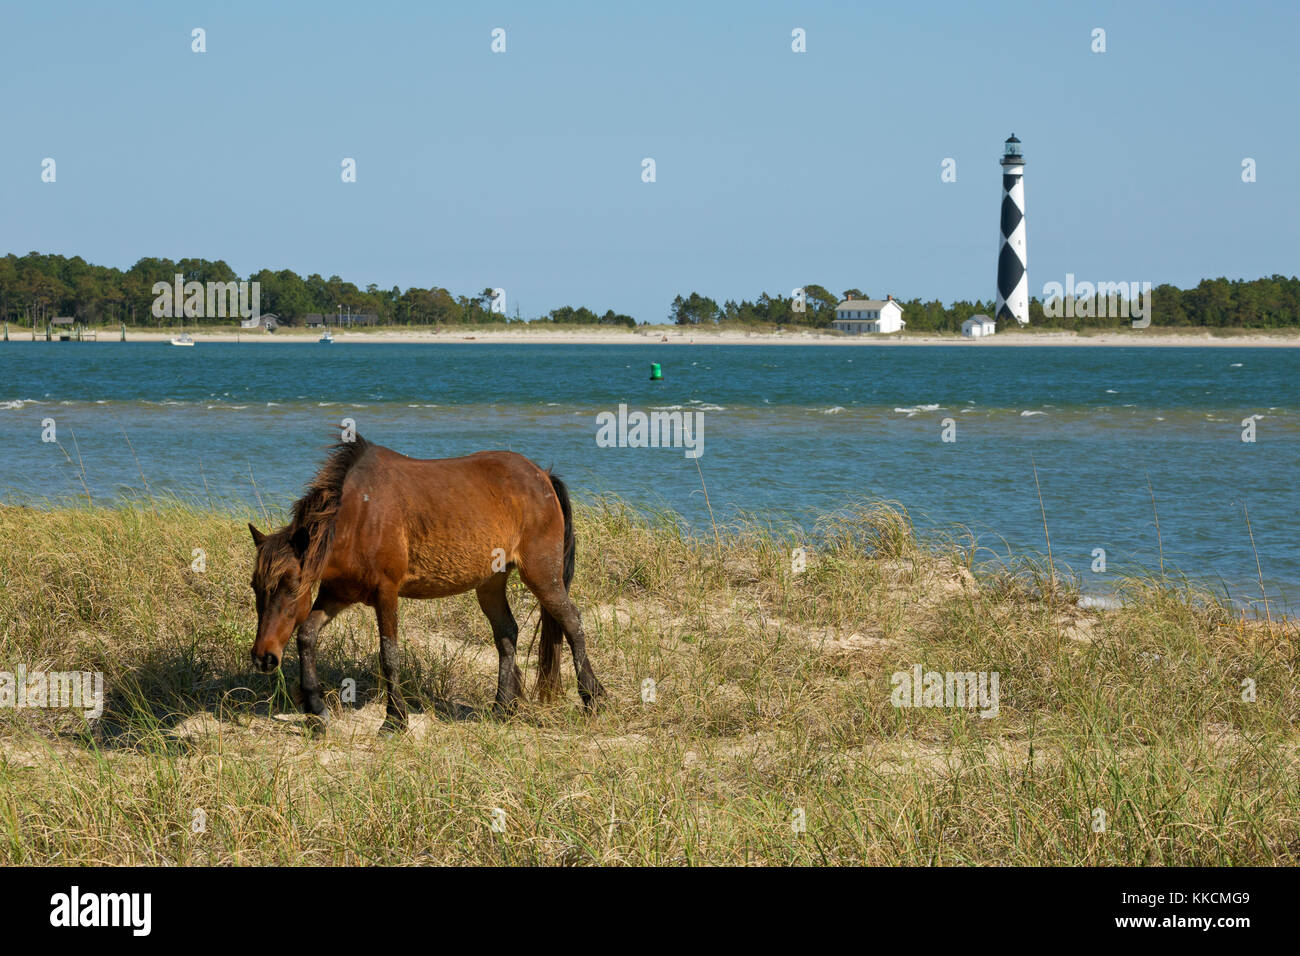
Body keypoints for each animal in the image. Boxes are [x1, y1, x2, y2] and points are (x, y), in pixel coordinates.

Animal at [247, 435, 605, 732]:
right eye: (255, 587)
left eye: (292, 585)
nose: (264, 657)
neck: (358, 516)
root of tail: (542, 475)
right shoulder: (338, 594)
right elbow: (306, 636)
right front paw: (316, 711)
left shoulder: (386, 592)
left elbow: (389, 655)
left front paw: (395, 721)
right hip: (491, 583)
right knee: (507, 633)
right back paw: (502, 708)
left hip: (543, 576)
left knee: (572, 622)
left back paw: (592, 698)